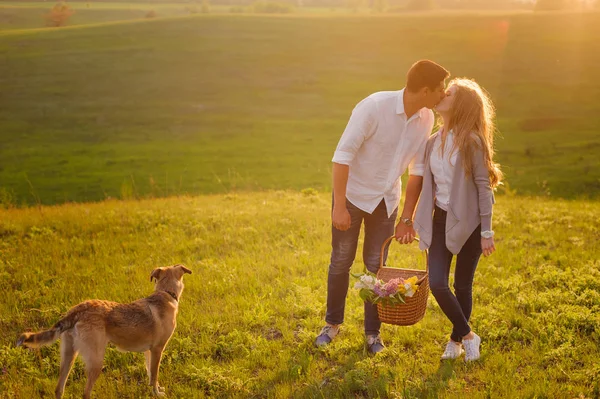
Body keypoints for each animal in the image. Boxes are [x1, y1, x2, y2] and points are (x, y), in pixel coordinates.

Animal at [16, 264, 191, 398]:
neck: (166, 294)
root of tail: (78, 310)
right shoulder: (157, 350)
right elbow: (154, 375)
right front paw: (156, 393)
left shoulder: (149, 352)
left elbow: (150, 374)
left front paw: (156, 389)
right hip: (96, 361)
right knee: (85, 393)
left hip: (68, 356)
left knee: (59, 389)